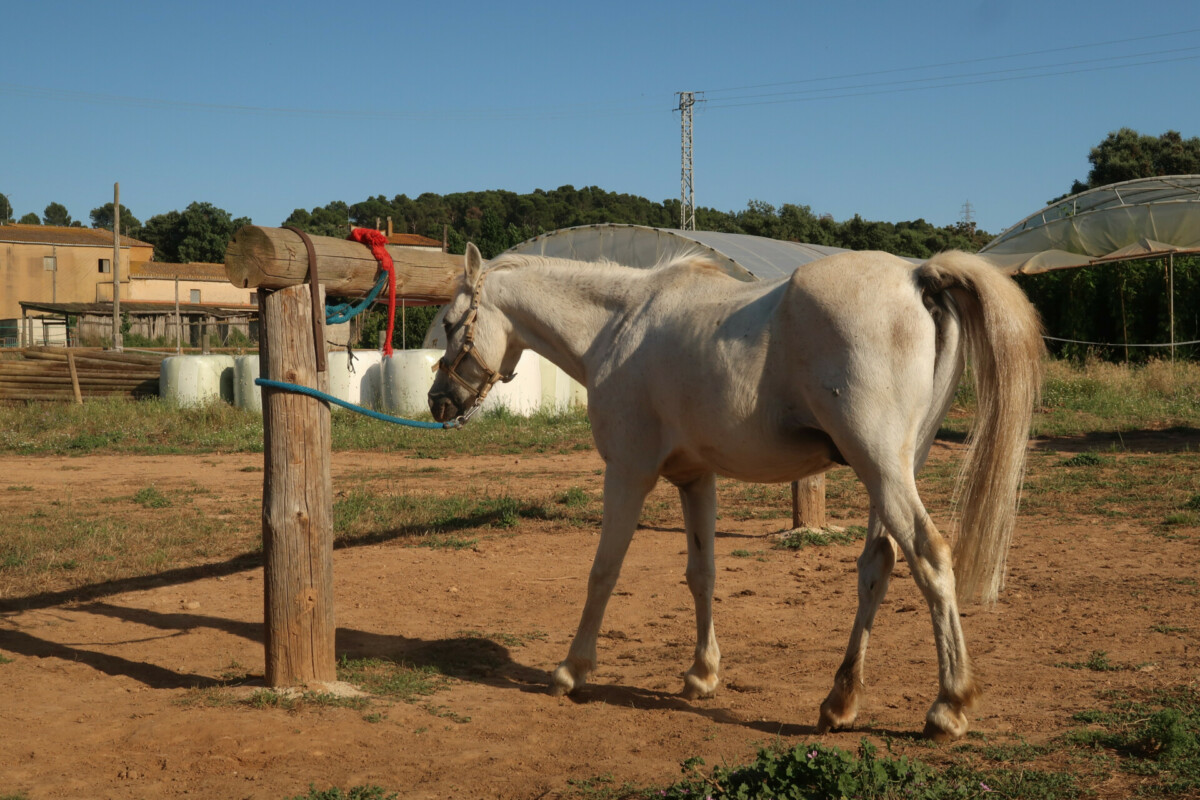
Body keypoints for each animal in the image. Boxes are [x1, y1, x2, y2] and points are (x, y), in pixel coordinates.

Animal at [429, 242, 1041, 738]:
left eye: (453, 323)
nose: (439, 401)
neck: (619, 326)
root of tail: (918, 277)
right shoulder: (695, 478)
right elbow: (702, 574)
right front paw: (702, 674)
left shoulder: (627, 473)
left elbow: (603, 571)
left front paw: (571, 670)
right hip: (890, 471)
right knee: (878, 566)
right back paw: (840, 701)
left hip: (883, 470)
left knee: (930, 558)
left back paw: (948, 707)